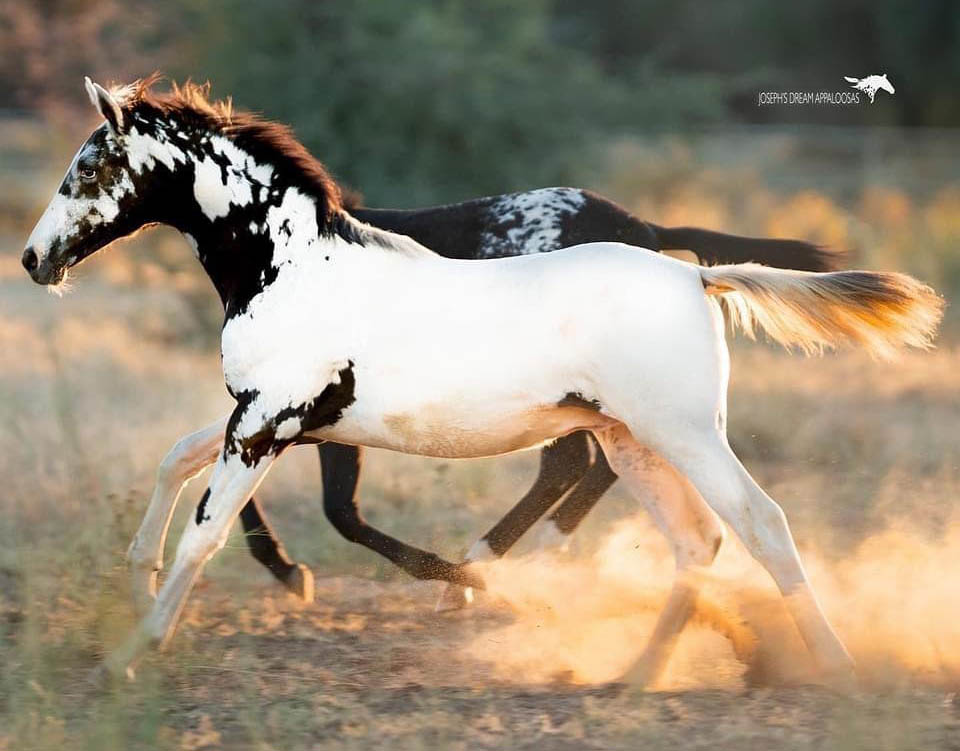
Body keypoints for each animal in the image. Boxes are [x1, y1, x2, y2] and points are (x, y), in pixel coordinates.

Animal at [22, 78, 944, 688]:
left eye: (87, 169)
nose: (34, 258)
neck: (293, 265)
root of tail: (694, 273)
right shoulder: (278, 422)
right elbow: (177, 462)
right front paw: (138, 578)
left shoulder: (267, 425)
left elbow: (208, 533)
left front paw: (131, 651)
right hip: (631, 441)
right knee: (695, 539)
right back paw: (635, 674)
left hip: (681, 433)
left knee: (760, 523)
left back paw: (834, 667)